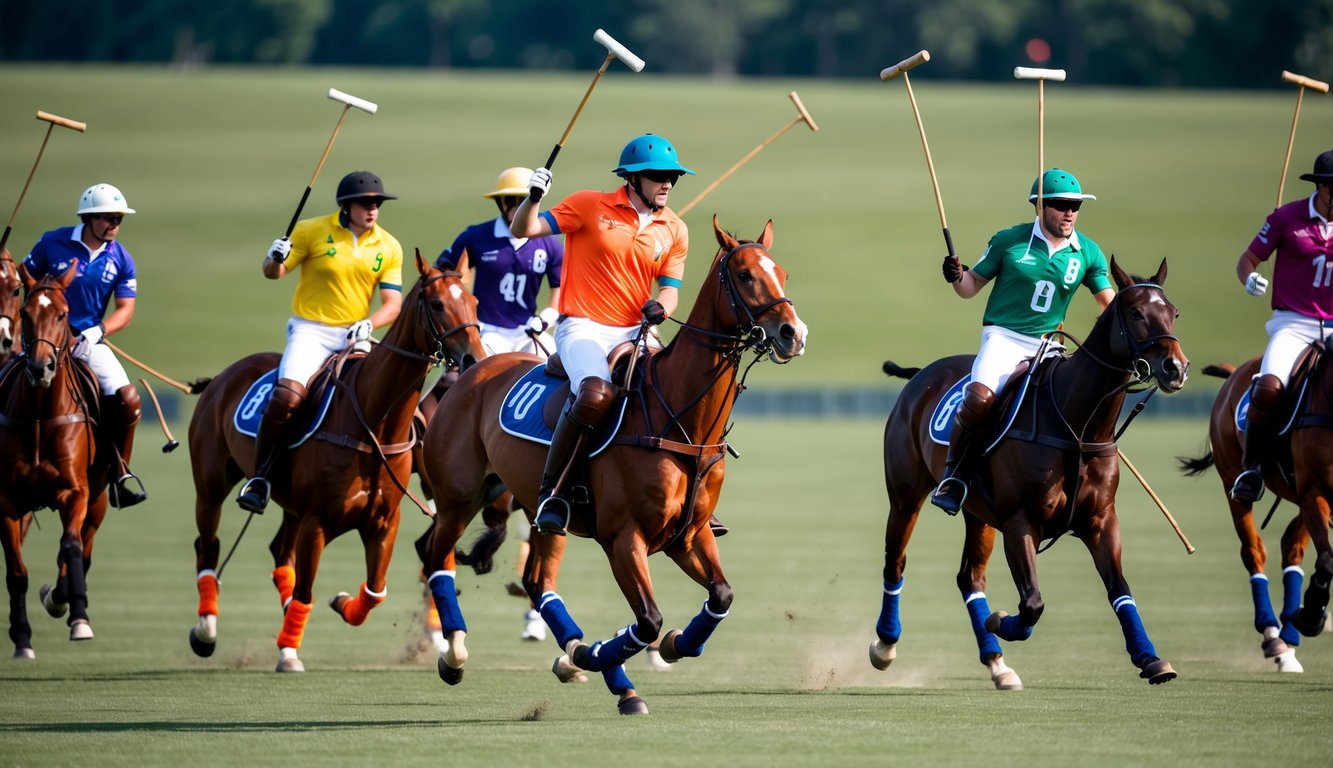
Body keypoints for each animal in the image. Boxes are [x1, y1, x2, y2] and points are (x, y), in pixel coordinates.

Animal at [0, 264, 114, 653]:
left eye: (63, 314)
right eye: (25, 313)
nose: (41, 369)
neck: (39, 416)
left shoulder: (75, 492)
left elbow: (72, 547)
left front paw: (78, 617)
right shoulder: (7, 501)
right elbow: (16, 571)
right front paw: (22, 637)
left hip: (97, 499)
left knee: (84, 546)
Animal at [185, 253, 482, 672]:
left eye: (473, 301)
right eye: (438, 304)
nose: (475, 358)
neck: (374, 423)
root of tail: (222, 376)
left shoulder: (383, 524)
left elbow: (374, 592)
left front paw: (339, 604)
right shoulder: (318, 522)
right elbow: (308, 591)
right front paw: (290, 652)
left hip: (290, 506)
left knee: (280, 552)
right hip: (211, 483)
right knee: (208, 545)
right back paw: (206, 632)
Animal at [421, 216, 805, 714]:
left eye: (782, 272)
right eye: (744, 275)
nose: (793, 333)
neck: (680, 420)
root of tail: (469, 371)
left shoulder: (690, 534)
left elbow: (720, 596)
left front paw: (667, 647)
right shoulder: (624, 538)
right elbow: (648, 619)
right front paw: (597, 656)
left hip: (529, 505)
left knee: (536, 580)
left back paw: (583, 661)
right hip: (456, 498)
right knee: (437, 559)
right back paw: (455, 655)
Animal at [869, 260, 1194, 688]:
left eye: (1173, 312)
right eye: (1137, 313)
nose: (1176, 368)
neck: (1078, 426)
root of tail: (922, 374)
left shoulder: (1100, 520)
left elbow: (1119, 588)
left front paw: (1151, 659)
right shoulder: (1021, 521)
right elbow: (1033, 603)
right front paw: (1000, 620)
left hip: (978, 513)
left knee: (969, 577)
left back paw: (998, 664)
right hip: (906, 493)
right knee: (896, 561)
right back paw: (885, 646)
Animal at [1178, 354, 1333, 672]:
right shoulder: (1314, 490)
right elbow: (1325, 561)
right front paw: (1311, 615)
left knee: (1291, 547)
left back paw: (1289, 640)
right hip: (1233, 481)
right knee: (1254, 551)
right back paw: (1275, 638)